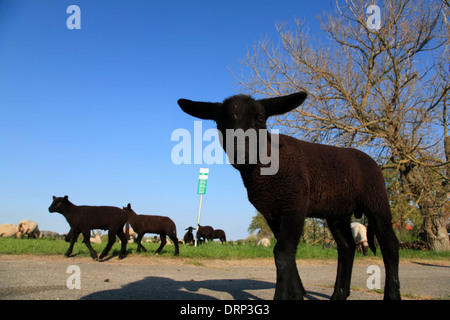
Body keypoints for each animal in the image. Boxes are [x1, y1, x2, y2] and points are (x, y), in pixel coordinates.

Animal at [178, 90, 400, 300]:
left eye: (261, 118)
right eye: (220, 123)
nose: (241, 153)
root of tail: (366, 157)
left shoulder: (294, 203)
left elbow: (282, 252)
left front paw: (285, 295)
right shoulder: (272, 212)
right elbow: (287, 252)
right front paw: (297, 293)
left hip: (376, 199)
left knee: (390, 245)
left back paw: (391, 294)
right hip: (337, 212)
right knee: (347, 247)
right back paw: (338, 295)